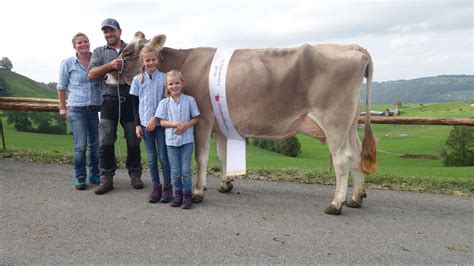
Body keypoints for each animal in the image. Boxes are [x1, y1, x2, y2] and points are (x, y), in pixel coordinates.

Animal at [108, 32, 378, 215]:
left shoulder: (203, 120)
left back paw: (336, 203)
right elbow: (222, 155)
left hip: (335, 120)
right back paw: (356, 198)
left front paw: (197, 191)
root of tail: (354, 48)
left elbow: (201, 158)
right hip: (350, 122)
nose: (110, 72)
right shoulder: (220, 124)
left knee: (342, 158)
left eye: (128, 53)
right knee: (356, 154)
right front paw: (225, 183)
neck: (183, 63)